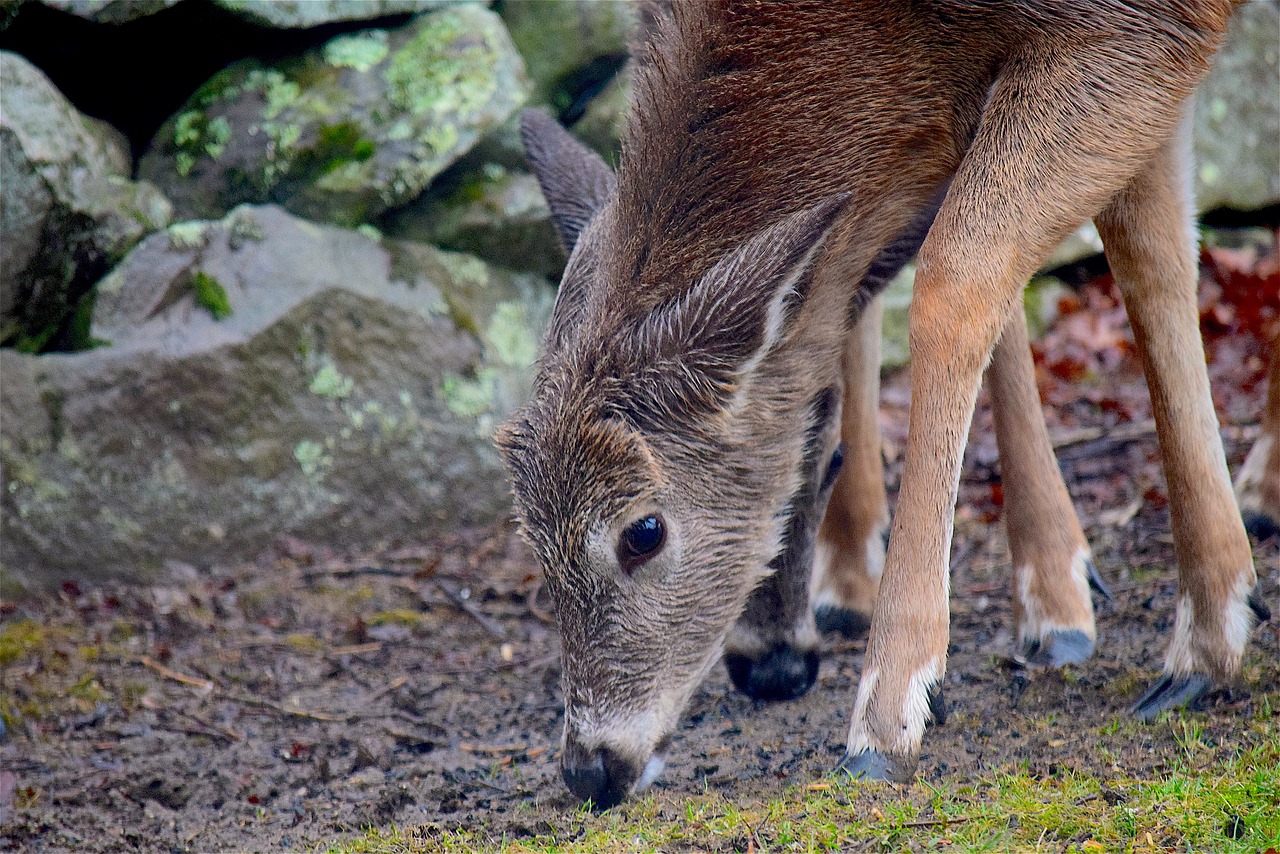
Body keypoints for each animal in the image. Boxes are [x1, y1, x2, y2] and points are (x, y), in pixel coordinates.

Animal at [491, 0, 1269, 809]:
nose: (589, 766)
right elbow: (1154, 254)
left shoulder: (1132, 30)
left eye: (643, 532)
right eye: (527, 534)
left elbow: (962, 276)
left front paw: (890, 714)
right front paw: (1184, 620)